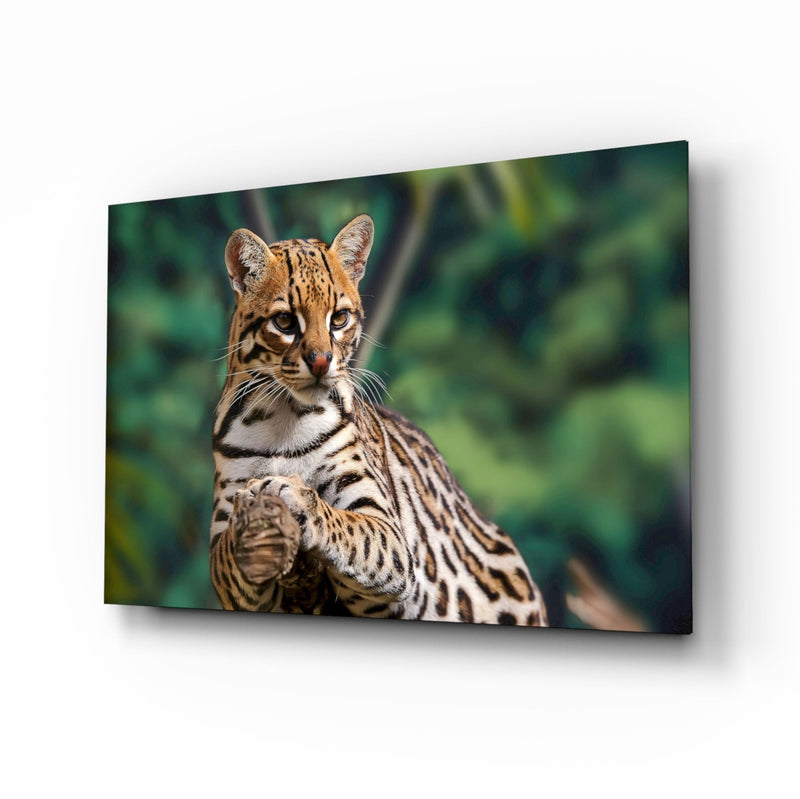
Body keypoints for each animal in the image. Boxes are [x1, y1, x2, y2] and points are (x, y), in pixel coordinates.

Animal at [209, 214, 548, 626]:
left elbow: (347, 527)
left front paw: (296, 496)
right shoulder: (229, 555)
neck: (284, 419)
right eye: (285, 321)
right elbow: (227, 555)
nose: (321, 362)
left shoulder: (389, 533)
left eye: (339, 318)